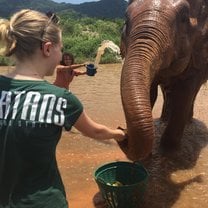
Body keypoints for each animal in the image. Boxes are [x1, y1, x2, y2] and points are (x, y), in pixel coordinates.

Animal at [118, 0, 208, 161]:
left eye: (183, 18)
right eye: (126, 20)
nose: (122, 130)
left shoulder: (199, 54)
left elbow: (184, 94)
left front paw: (169, 152)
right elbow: (151, 92)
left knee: (191, 93)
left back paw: (188, 122)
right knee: (167, 92)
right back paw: (164, 119)